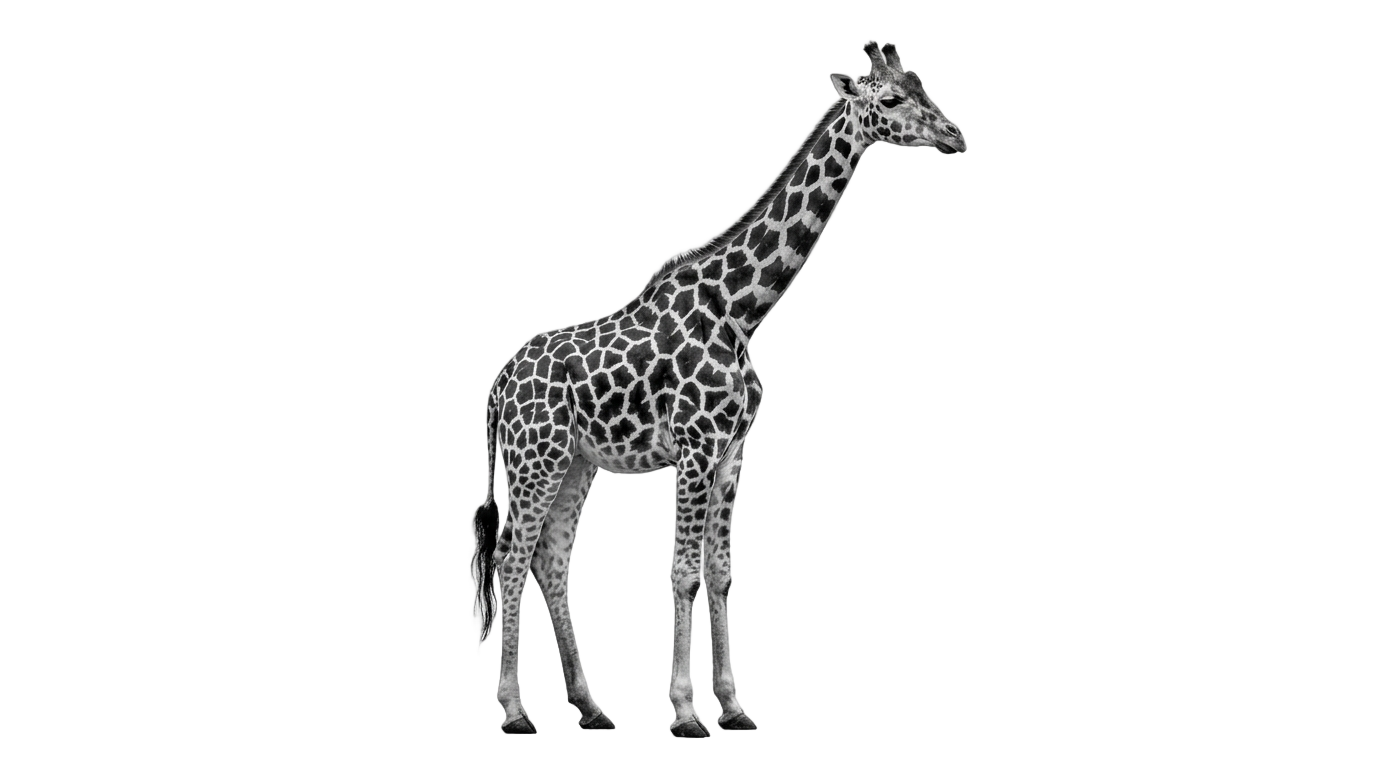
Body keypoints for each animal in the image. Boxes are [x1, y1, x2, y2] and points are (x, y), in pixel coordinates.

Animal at [460, 41, 965, 742]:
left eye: (921, 86)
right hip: (537, 459)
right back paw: (514, 712)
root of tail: (498, 388)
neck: (739, 309)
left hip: (576, 462)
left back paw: (589, 708)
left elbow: (721, 576)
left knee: (549, 558)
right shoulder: (694, 451)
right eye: (890, 99)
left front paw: (733, 707)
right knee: (510, 557)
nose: (954, 136)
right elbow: (683, 574)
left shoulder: (730, 456)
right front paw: (684, 715)